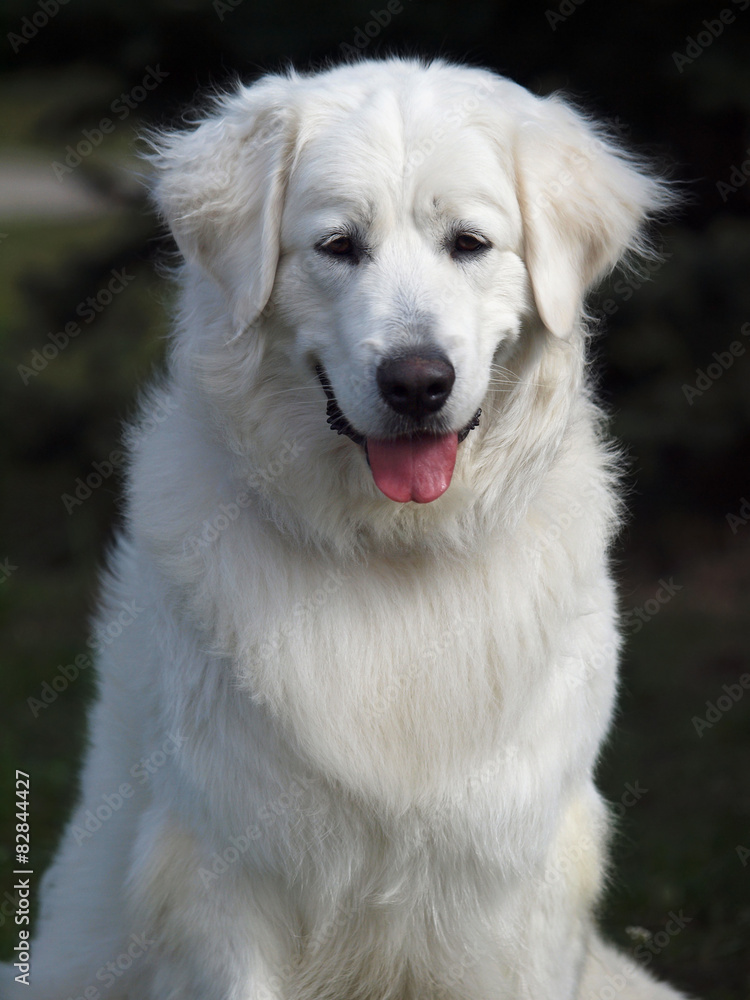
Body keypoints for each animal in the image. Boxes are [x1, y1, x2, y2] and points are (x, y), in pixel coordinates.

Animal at [4, 56, 692, 1000]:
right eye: (338, 247)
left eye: (468, 244)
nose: (417, 382)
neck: (391, 553)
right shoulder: (223, 878)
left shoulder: (516, 883)